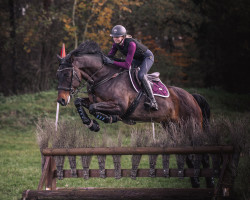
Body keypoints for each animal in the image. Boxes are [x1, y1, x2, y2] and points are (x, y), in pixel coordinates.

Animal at [56, 40, 213, 188]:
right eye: (58, 74)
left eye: (67, 74)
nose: (61, 100)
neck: (103, 77)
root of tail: (192, 97)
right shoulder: (93, 100)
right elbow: (80, 102)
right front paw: (91, 124)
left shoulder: (120, 106)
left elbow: (94, 108)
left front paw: (106, 118)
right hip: (173, 128)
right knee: (189, 154)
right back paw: (195, 182)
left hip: (192, 126)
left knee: (203, 154)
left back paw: (210, 182)